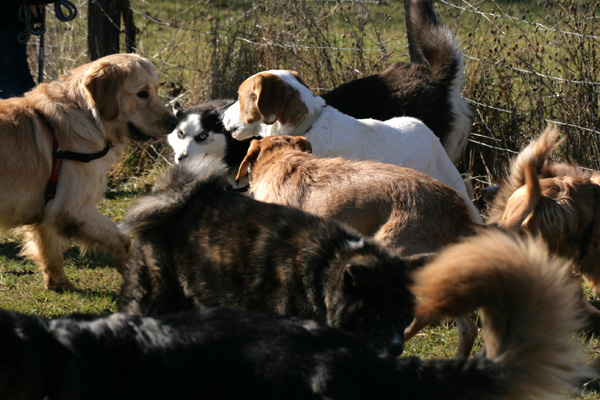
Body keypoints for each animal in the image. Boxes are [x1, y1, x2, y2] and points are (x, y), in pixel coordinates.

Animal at [0, 53, 178, 290]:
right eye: (142, 93)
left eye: (157, 89)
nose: (174, 122)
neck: (87, 116)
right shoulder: (70, 209)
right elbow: (121, 238)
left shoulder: (49, 209)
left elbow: (51, 250)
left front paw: (58, 283)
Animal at [119, 155, 414, 356]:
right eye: (376, 315)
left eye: (402, 315)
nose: (397, 348)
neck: (326, 267)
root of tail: (170, 199)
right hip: (155, 296)